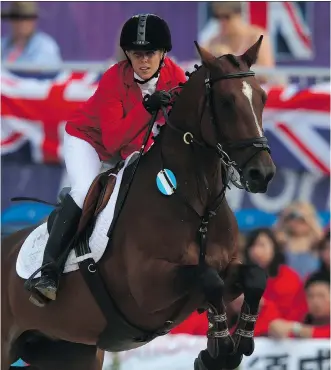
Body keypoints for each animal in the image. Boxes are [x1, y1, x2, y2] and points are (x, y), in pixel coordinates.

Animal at [2, 37, 276, 370]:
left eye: (262, 98)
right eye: (226, 102)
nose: (262, 174)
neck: (196, 202)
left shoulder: (227, 266)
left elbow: (254, 276)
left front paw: (231, 347)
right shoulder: (147, 287)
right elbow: (209, 280)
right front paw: (220, 349)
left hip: (69, 350)